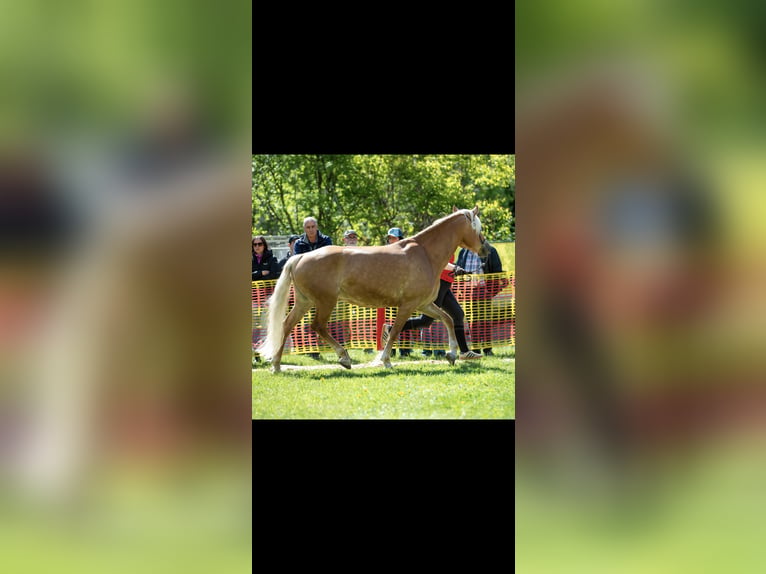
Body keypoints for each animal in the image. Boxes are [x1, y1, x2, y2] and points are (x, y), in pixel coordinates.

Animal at [257, 206, 490, 372]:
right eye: (477, 228)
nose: (486, 249)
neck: (425, 254)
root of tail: (300, 257)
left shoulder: (424, 304)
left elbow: (448, 319)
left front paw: (452, 355)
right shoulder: (408, 305)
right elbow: (395, 331)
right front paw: (385, 361)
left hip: (305, 301)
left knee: (286, 325)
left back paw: (276, 365)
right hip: (325, 301)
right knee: (318, 326)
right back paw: (344, 358)